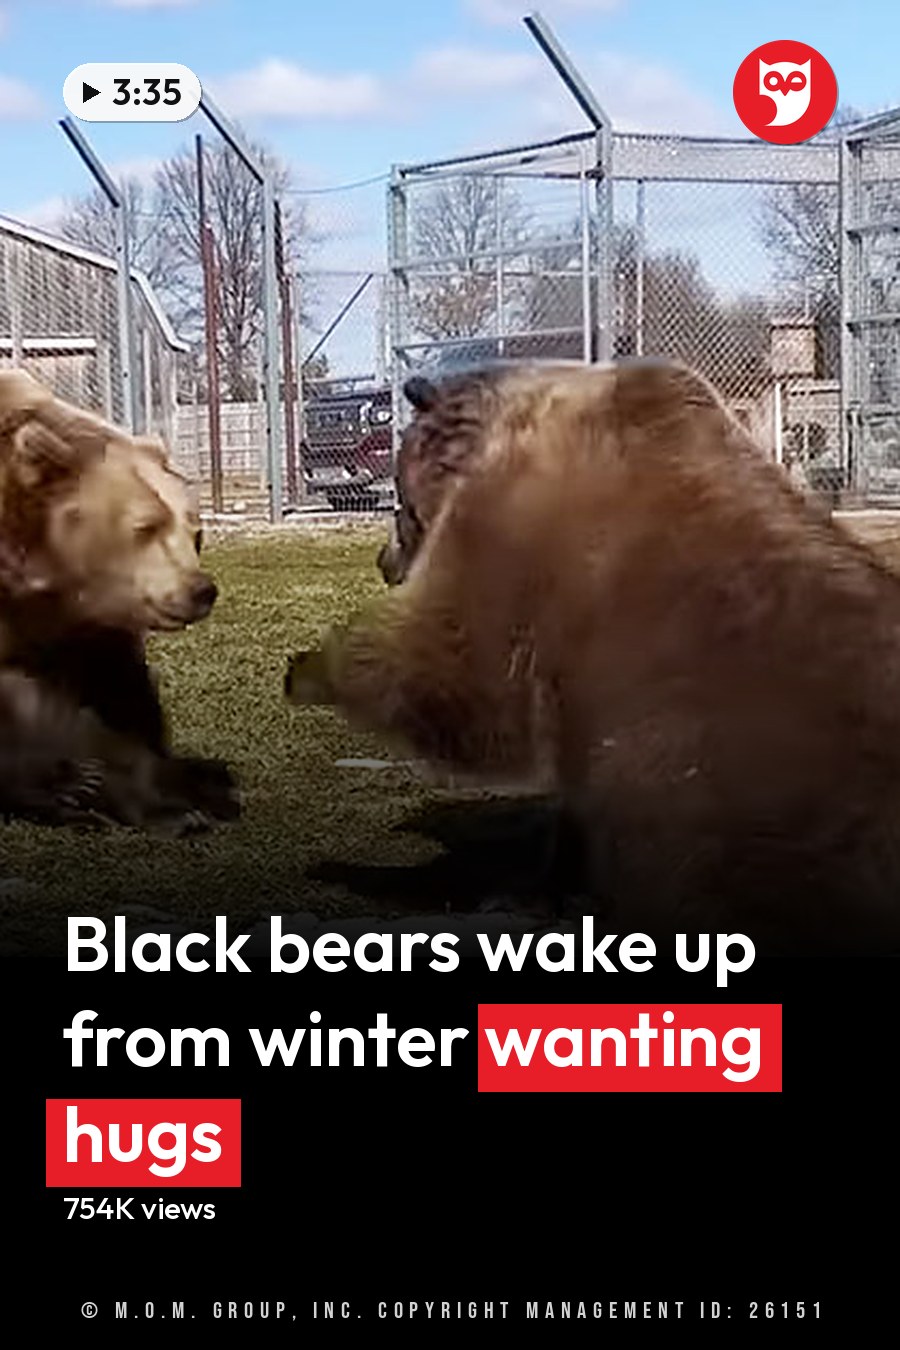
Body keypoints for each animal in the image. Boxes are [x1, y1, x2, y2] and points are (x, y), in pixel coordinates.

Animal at [0, 369, 237, 830]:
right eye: (145, 527)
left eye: (195, 530)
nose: (201, 589)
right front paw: (71, 787)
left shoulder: (85, 628)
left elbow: (121, 698)